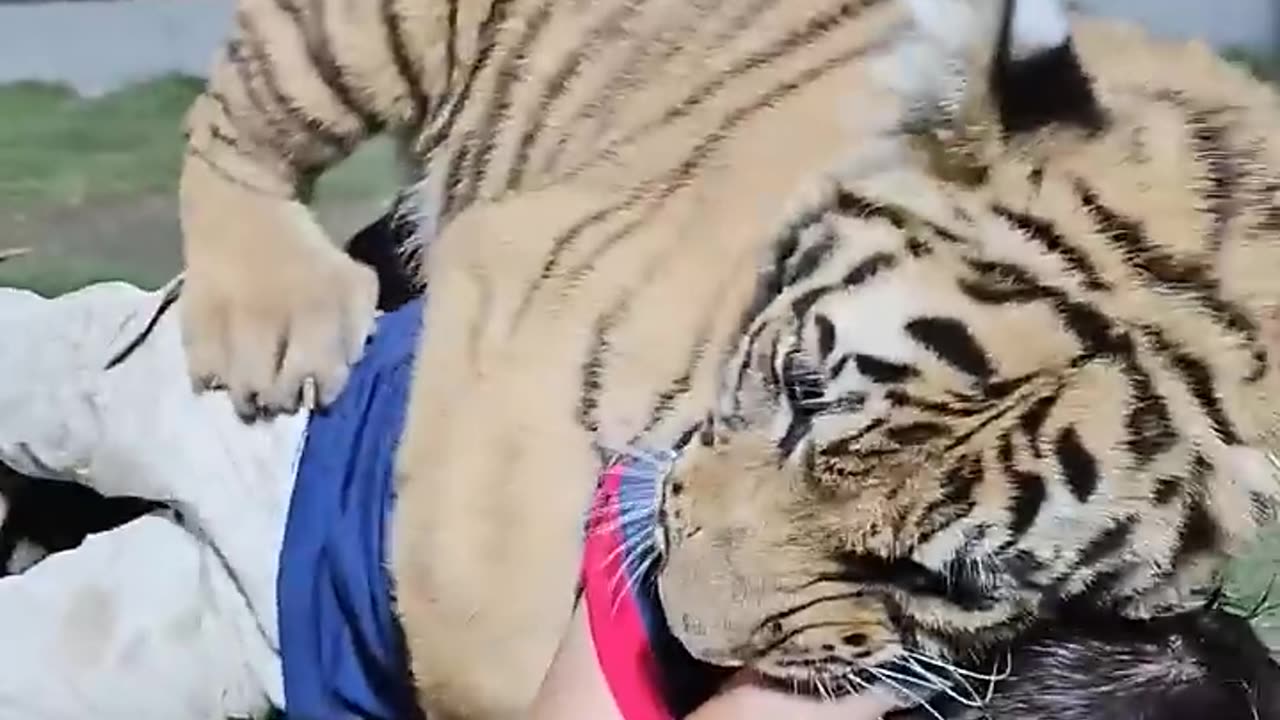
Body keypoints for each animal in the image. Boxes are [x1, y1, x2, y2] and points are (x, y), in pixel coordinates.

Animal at [175, 0, 1280, 712]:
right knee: (230, 119)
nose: (690, 627)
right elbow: (486, 622)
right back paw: (272, 320)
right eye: (798, 390)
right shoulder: (523, 300)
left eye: (949, 582)